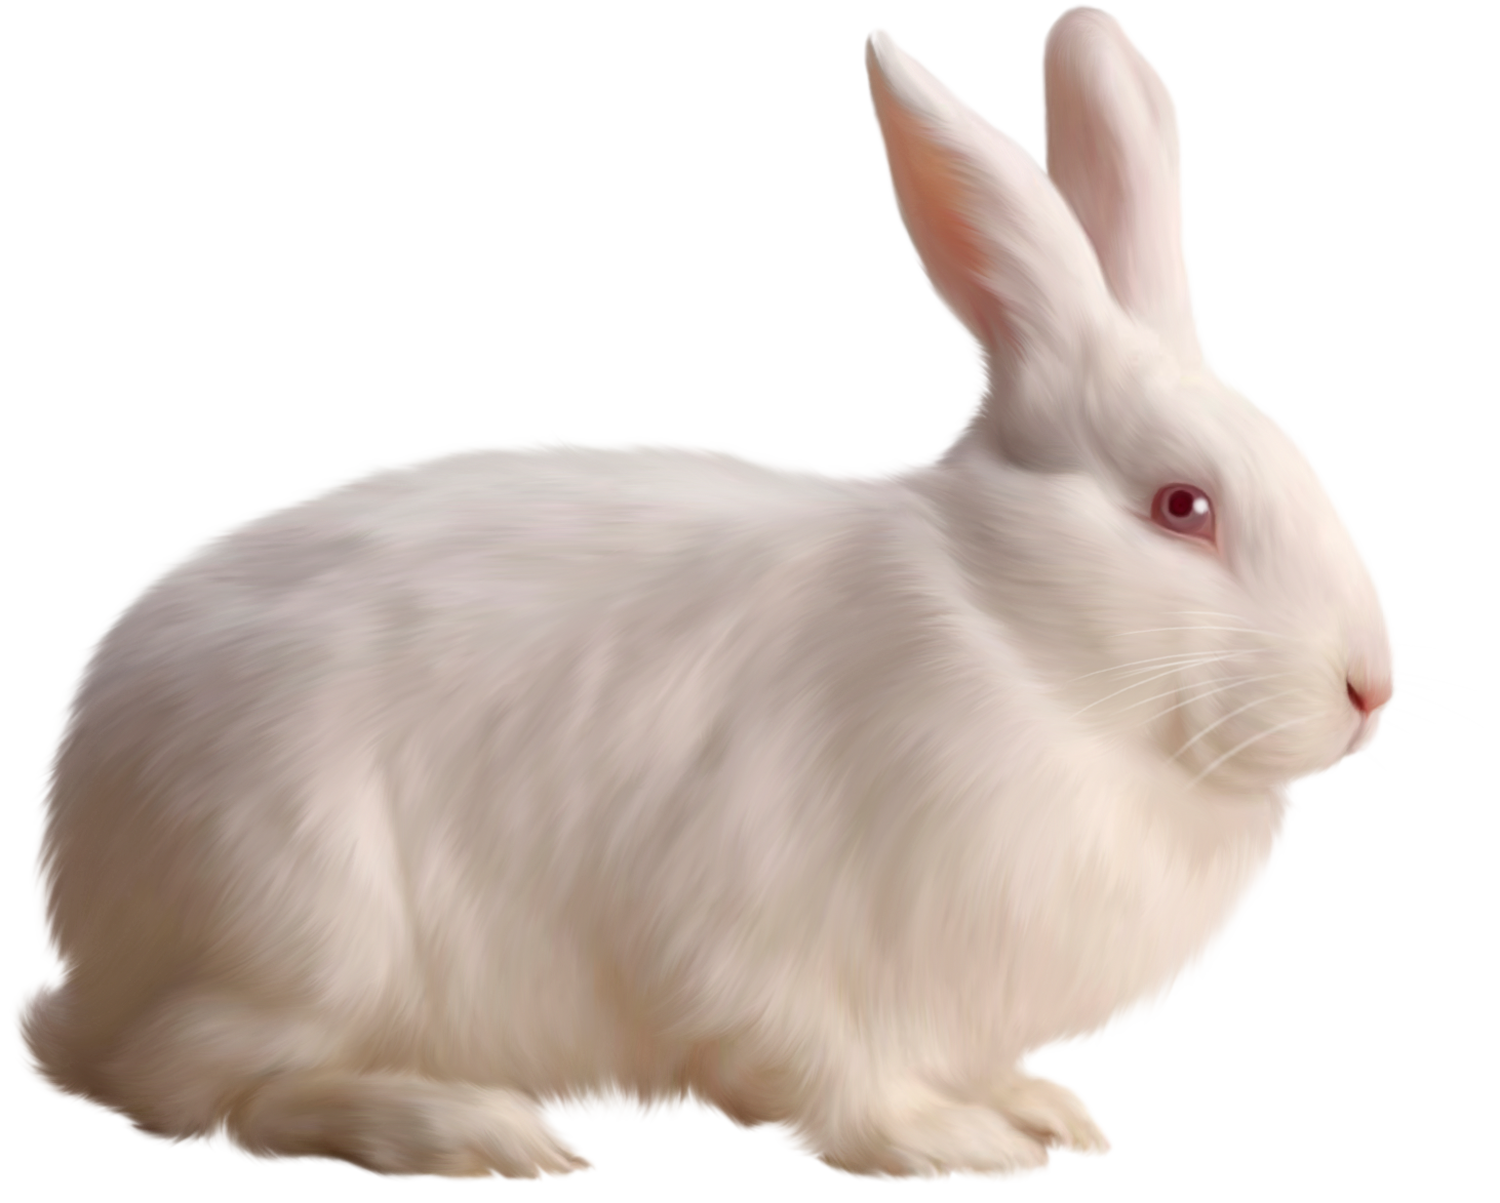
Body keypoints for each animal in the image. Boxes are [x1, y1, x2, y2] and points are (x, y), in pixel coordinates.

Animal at [11, 4, 1397, 1186]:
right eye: (1183, 507)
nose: (1372, 689)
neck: (1017, 636)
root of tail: (80, 916)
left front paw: (1044, 1108)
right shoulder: (769, 942)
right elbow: (825, 1081)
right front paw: (957, 1144)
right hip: (302, 917)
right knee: (198, 1088)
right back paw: (473, 1128)